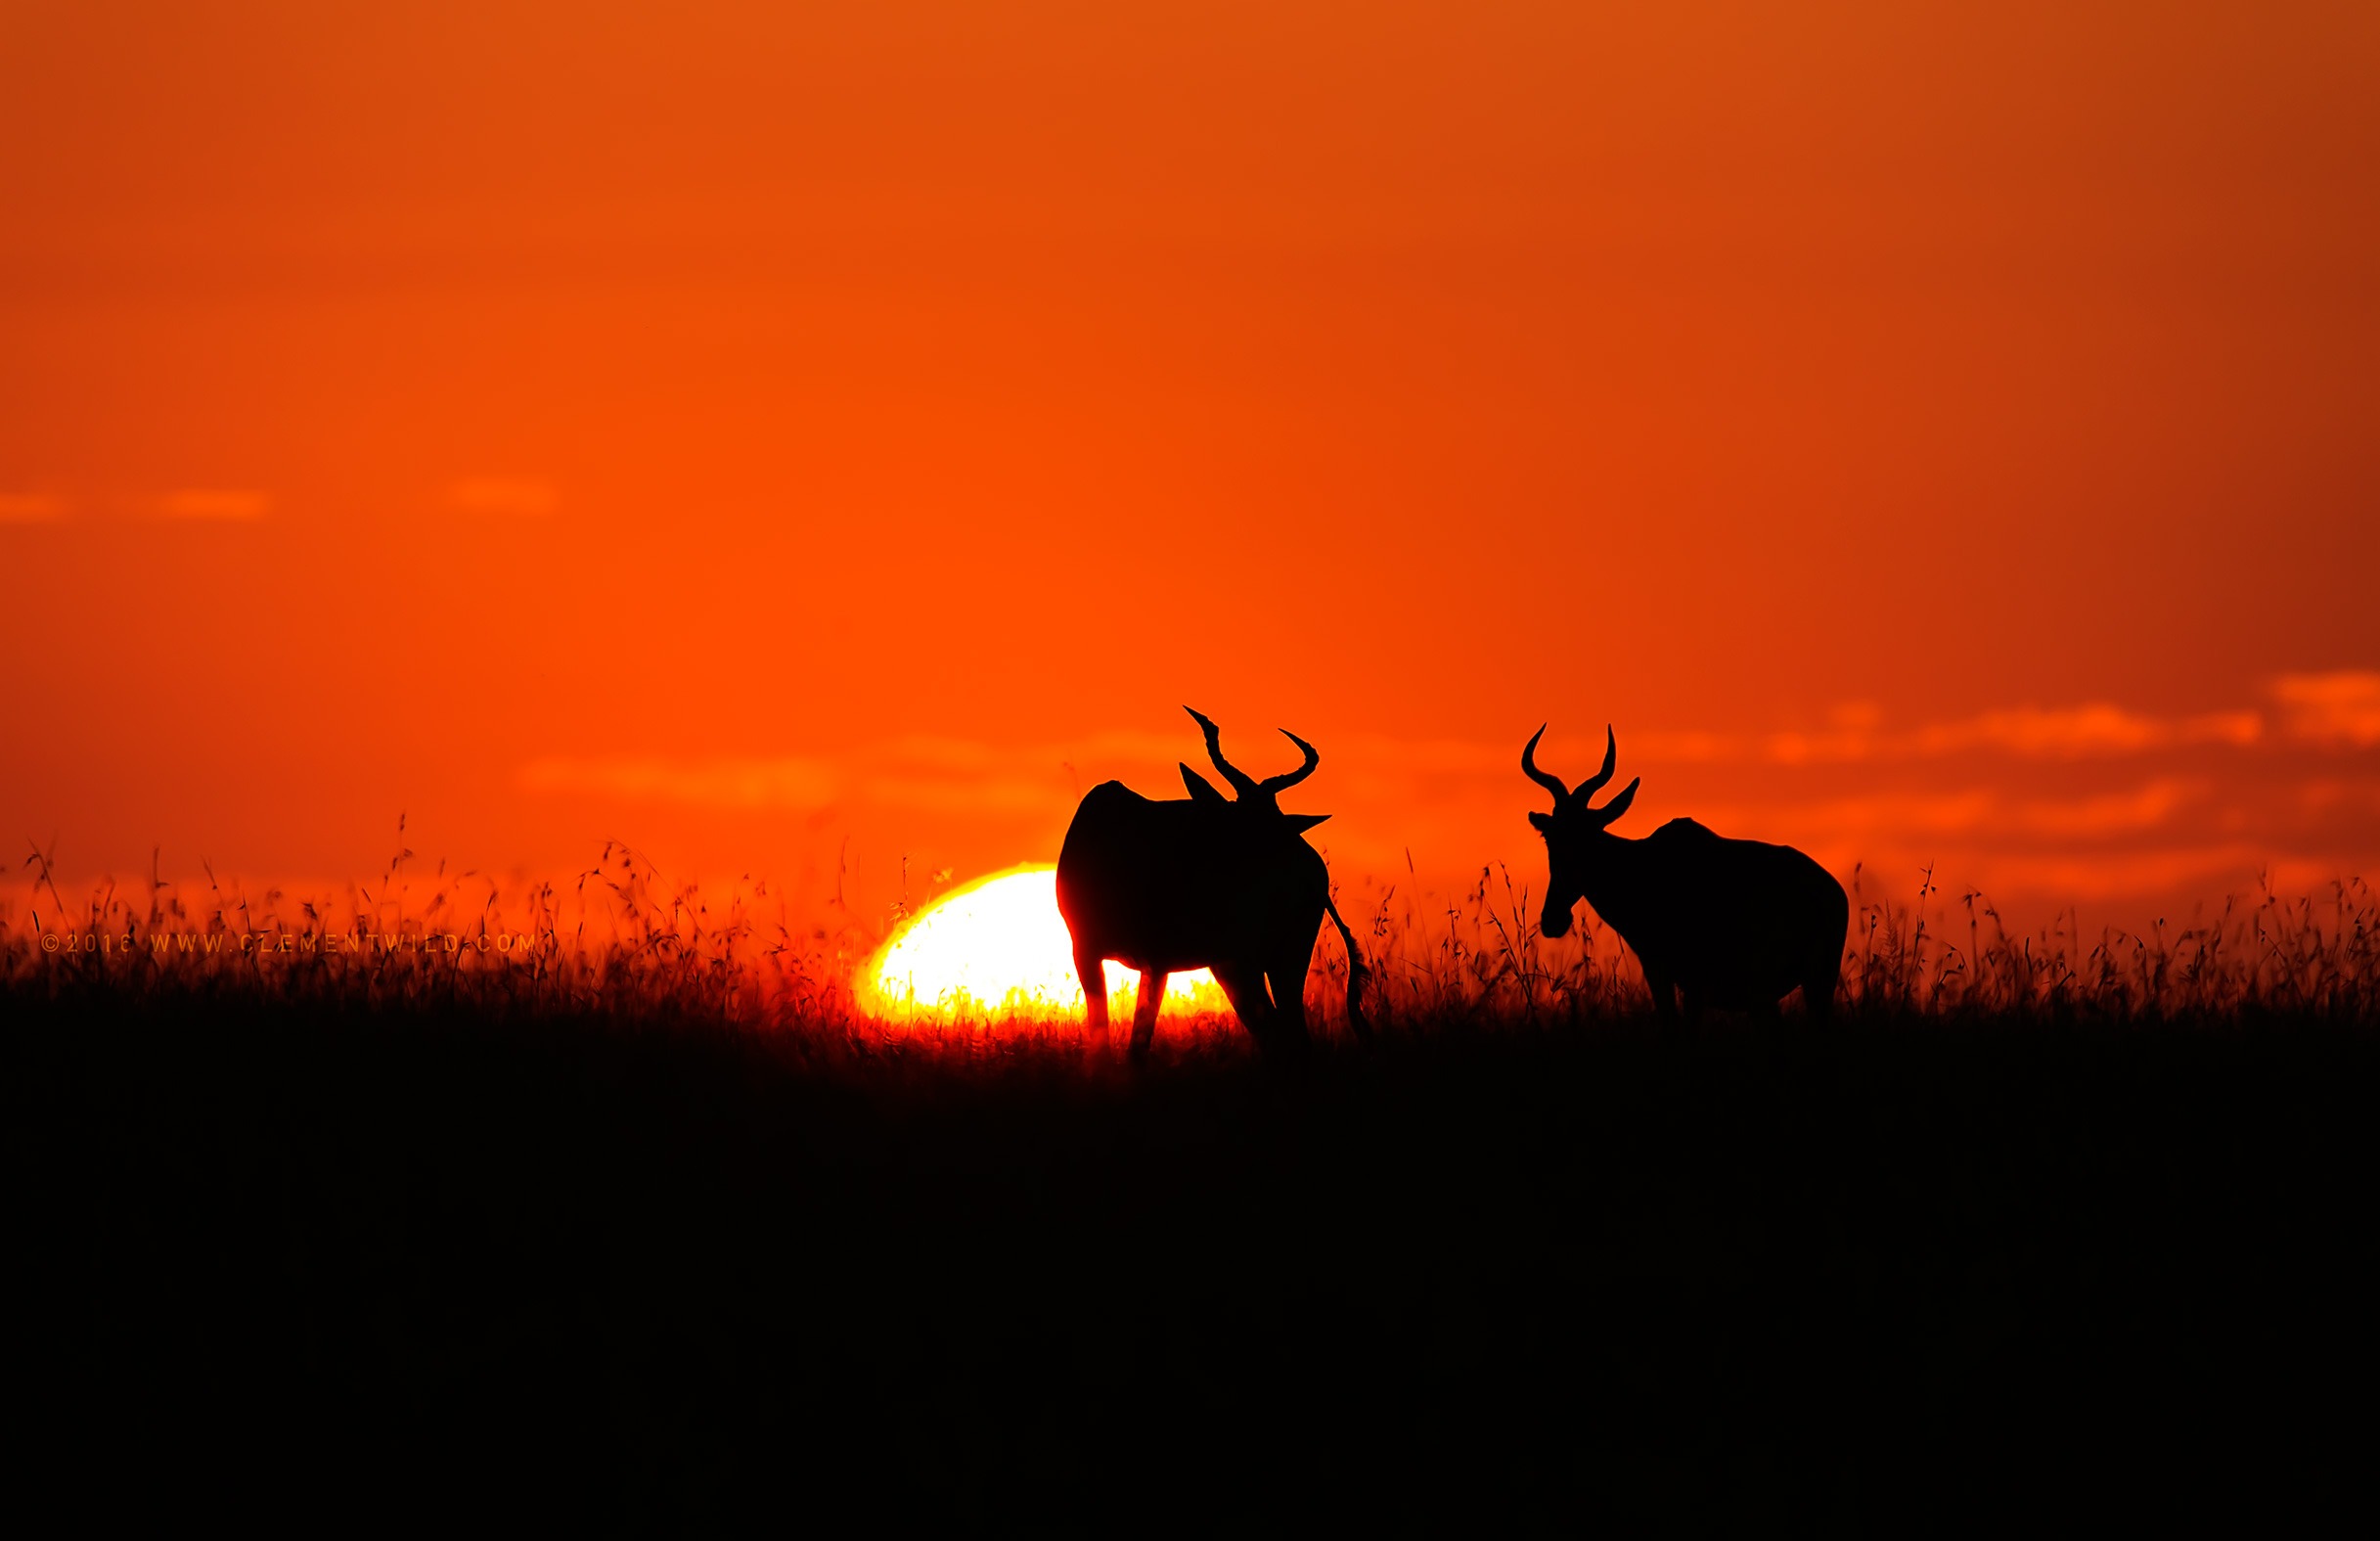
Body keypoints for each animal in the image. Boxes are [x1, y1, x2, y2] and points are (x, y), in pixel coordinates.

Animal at [1065, 709, 1380, 1062]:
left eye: (1277, 821)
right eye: (1242, 822)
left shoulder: (1157, 962)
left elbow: (1136, 1048)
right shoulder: (1089, 952)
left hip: (1268, 959)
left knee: (1287, 1035)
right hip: (1245, 964)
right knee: (1279, 1034)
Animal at [1532, 728, 1847, 1023]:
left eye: (1587, 835)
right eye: (1549, 836)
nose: (1552, 920)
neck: (1646, 862)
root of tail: (1832, 891)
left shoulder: (1688, 978)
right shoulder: (1661, 971)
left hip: (1806, 984)